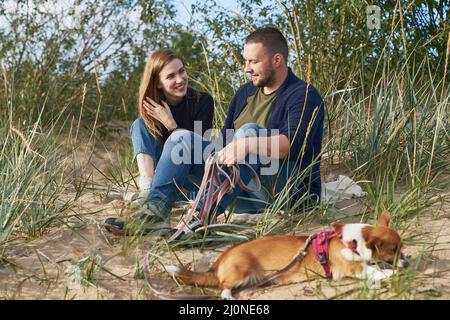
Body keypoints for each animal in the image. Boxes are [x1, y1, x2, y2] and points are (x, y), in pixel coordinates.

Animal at [167, 211, 410, 298]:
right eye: (393, 250)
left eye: (403, 248)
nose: (407, 264)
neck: (352, 241)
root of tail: (222, 258)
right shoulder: (354, 267)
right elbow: (373, 270)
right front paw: (388, 274)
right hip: (239, 272)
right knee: (222, 286)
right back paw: (228, 296)